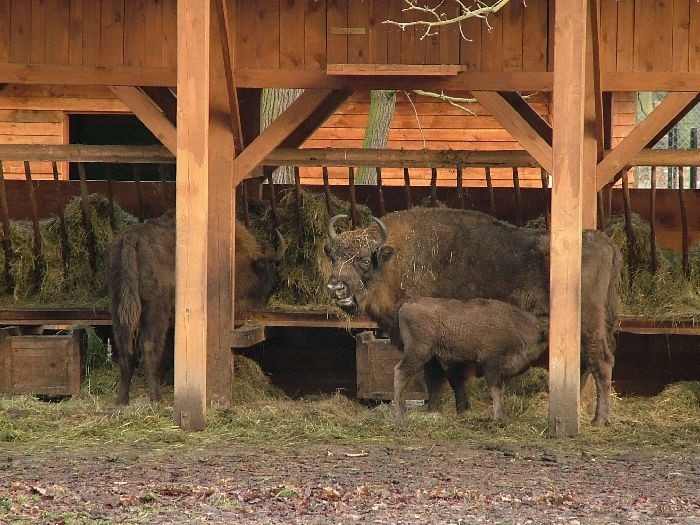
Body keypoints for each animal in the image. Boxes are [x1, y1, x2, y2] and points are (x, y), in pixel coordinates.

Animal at [107, 211, 284, 405]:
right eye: (268, 271)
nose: (265, 300)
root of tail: (131, 237)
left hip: (118, 307)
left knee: (125, 350)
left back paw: (122, 401)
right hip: (155, 310)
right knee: (149, 347)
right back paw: (156, 399)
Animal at [396, 297, 548, 422]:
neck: (514, 324)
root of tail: (407, 305)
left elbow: (501, 391)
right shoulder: (491, 364)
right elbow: (496, 389)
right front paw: (498, 418)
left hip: (430, 359)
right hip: (417, 353)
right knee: (400, 372)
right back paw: (400, 415)